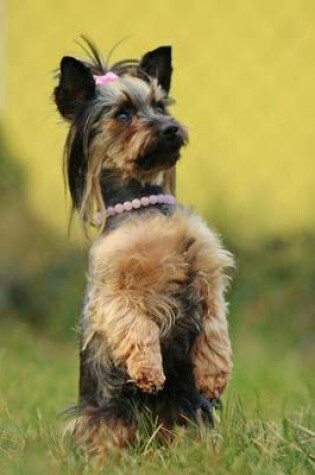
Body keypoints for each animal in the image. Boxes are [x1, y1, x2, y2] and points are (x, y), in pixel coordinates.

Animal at [53, 41, 233, 462]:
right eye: (122, 115)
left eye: (161, 106)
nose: (170, 128)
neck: (145, 201)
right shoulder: (111, 293)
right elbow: (137, 323)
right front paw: (149, 370)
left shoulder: (208, 272)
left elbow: (215, 321)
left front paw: (214, 371)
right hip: (101, 416)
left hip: (189, 411)